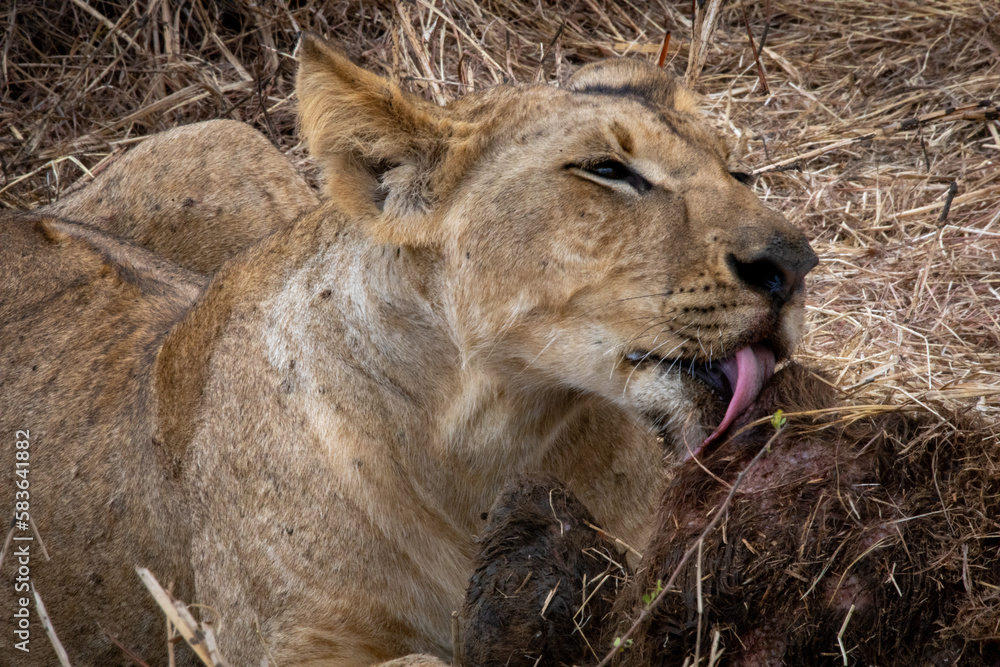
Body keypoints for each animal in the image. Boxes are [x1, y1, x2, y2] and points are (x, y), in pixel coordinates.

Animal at [0, 35, 816, 666]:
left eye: (737, 172)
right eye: (607, 170)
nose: (795, 263)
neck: (488, 442)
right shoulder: (262, 645)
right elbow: (424, 655)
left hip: (217, 139)